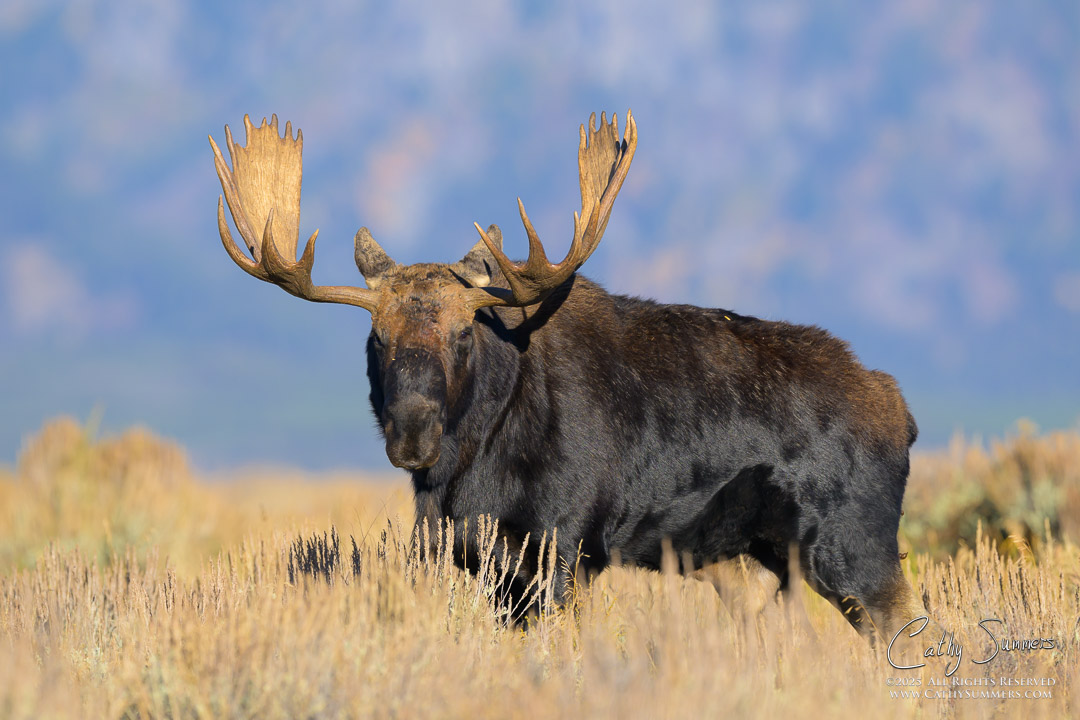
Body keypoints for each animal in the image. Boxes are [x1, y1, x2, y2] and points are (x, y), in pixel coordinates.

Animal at [210, 112, 927, 639]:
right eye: (376, 337)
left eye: (462, 333)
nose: (411, 434)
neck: (471, 464)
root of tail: (902, 410)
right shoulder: (479, 560)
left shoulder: (565, 547)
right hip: (755, 560)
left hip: (854, 544)